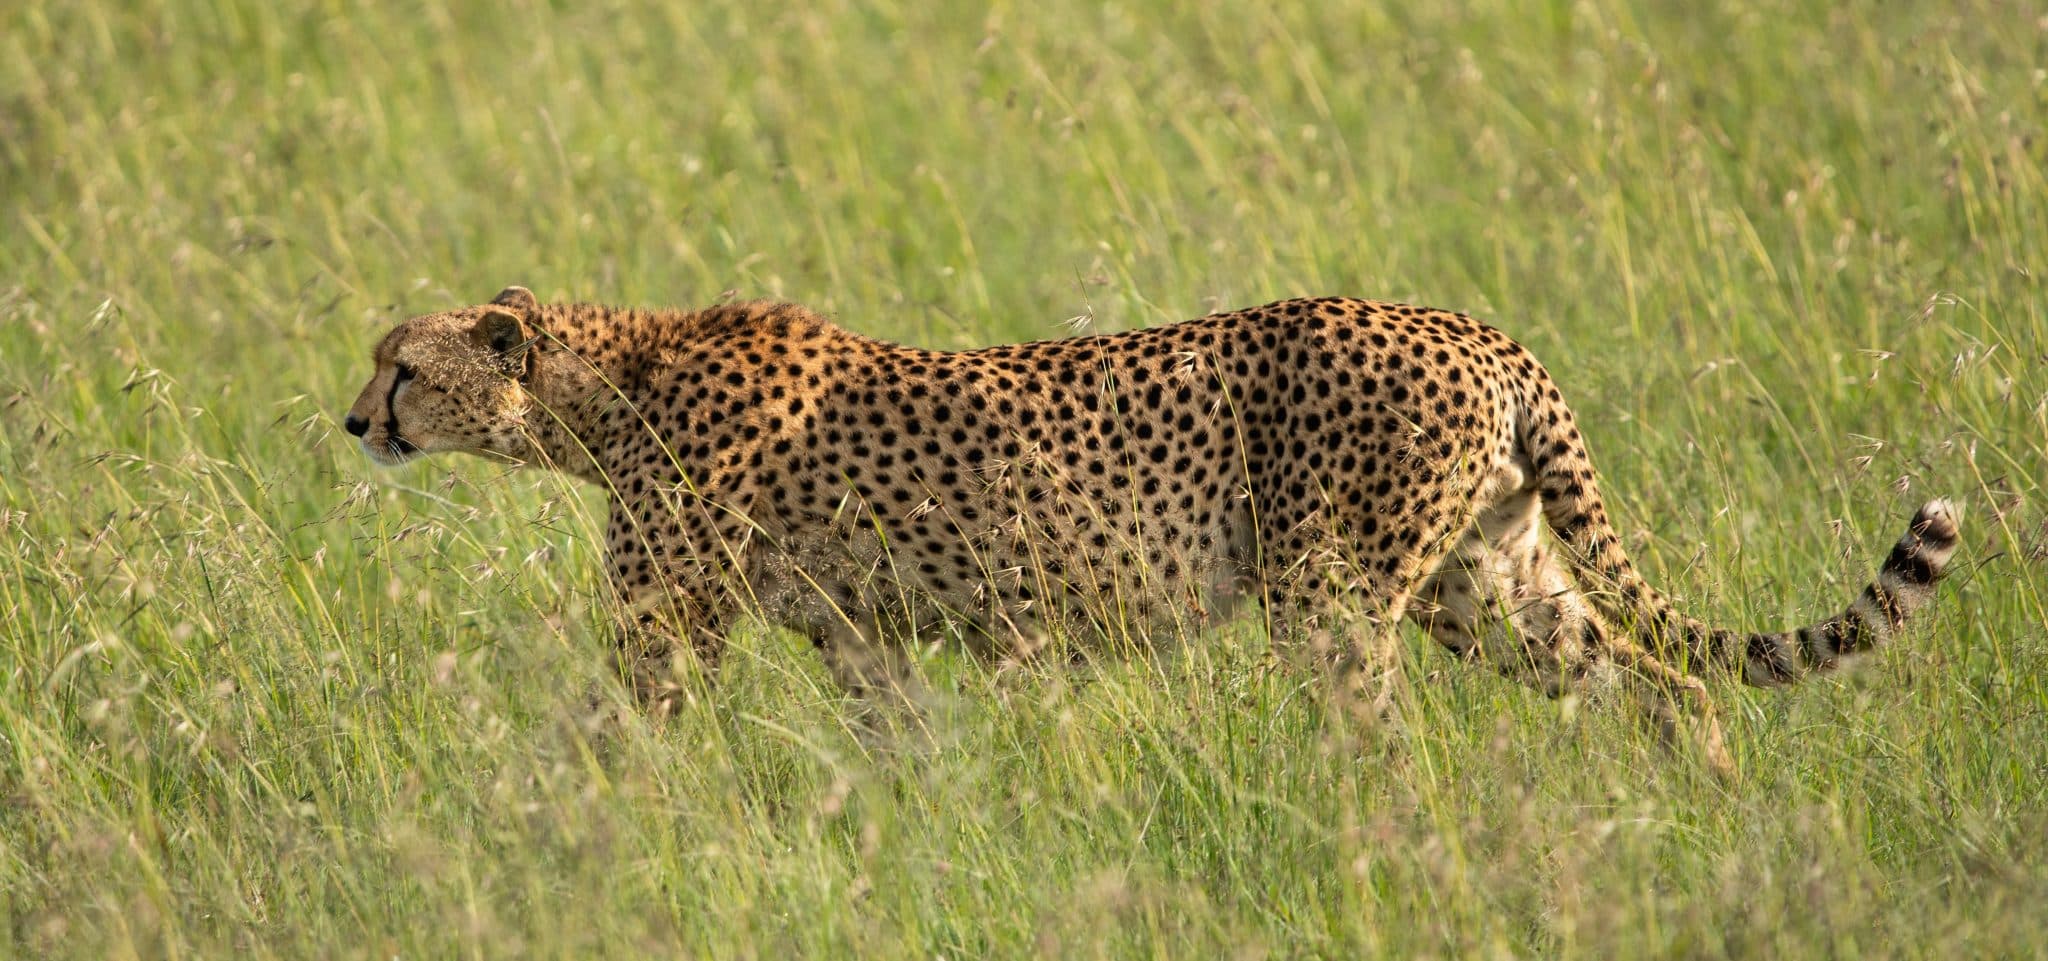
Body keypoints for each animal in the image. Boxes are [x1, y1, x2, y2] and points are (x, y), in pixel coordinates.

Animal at [345, 285, 1961, 774]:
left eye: (400, 365)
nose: (355, 421)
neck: (599, 383)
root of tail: (1474, 328)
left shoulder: (668, 623)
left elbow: (613, 737)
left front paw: (567, 829)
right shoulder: (862, 638)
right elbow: (899, 746)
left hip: (1331, 592)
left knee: (1380, 739)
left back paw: (1354, 844)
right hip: (1489, 584)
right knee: (1669, 686)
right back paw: (1709, 812)